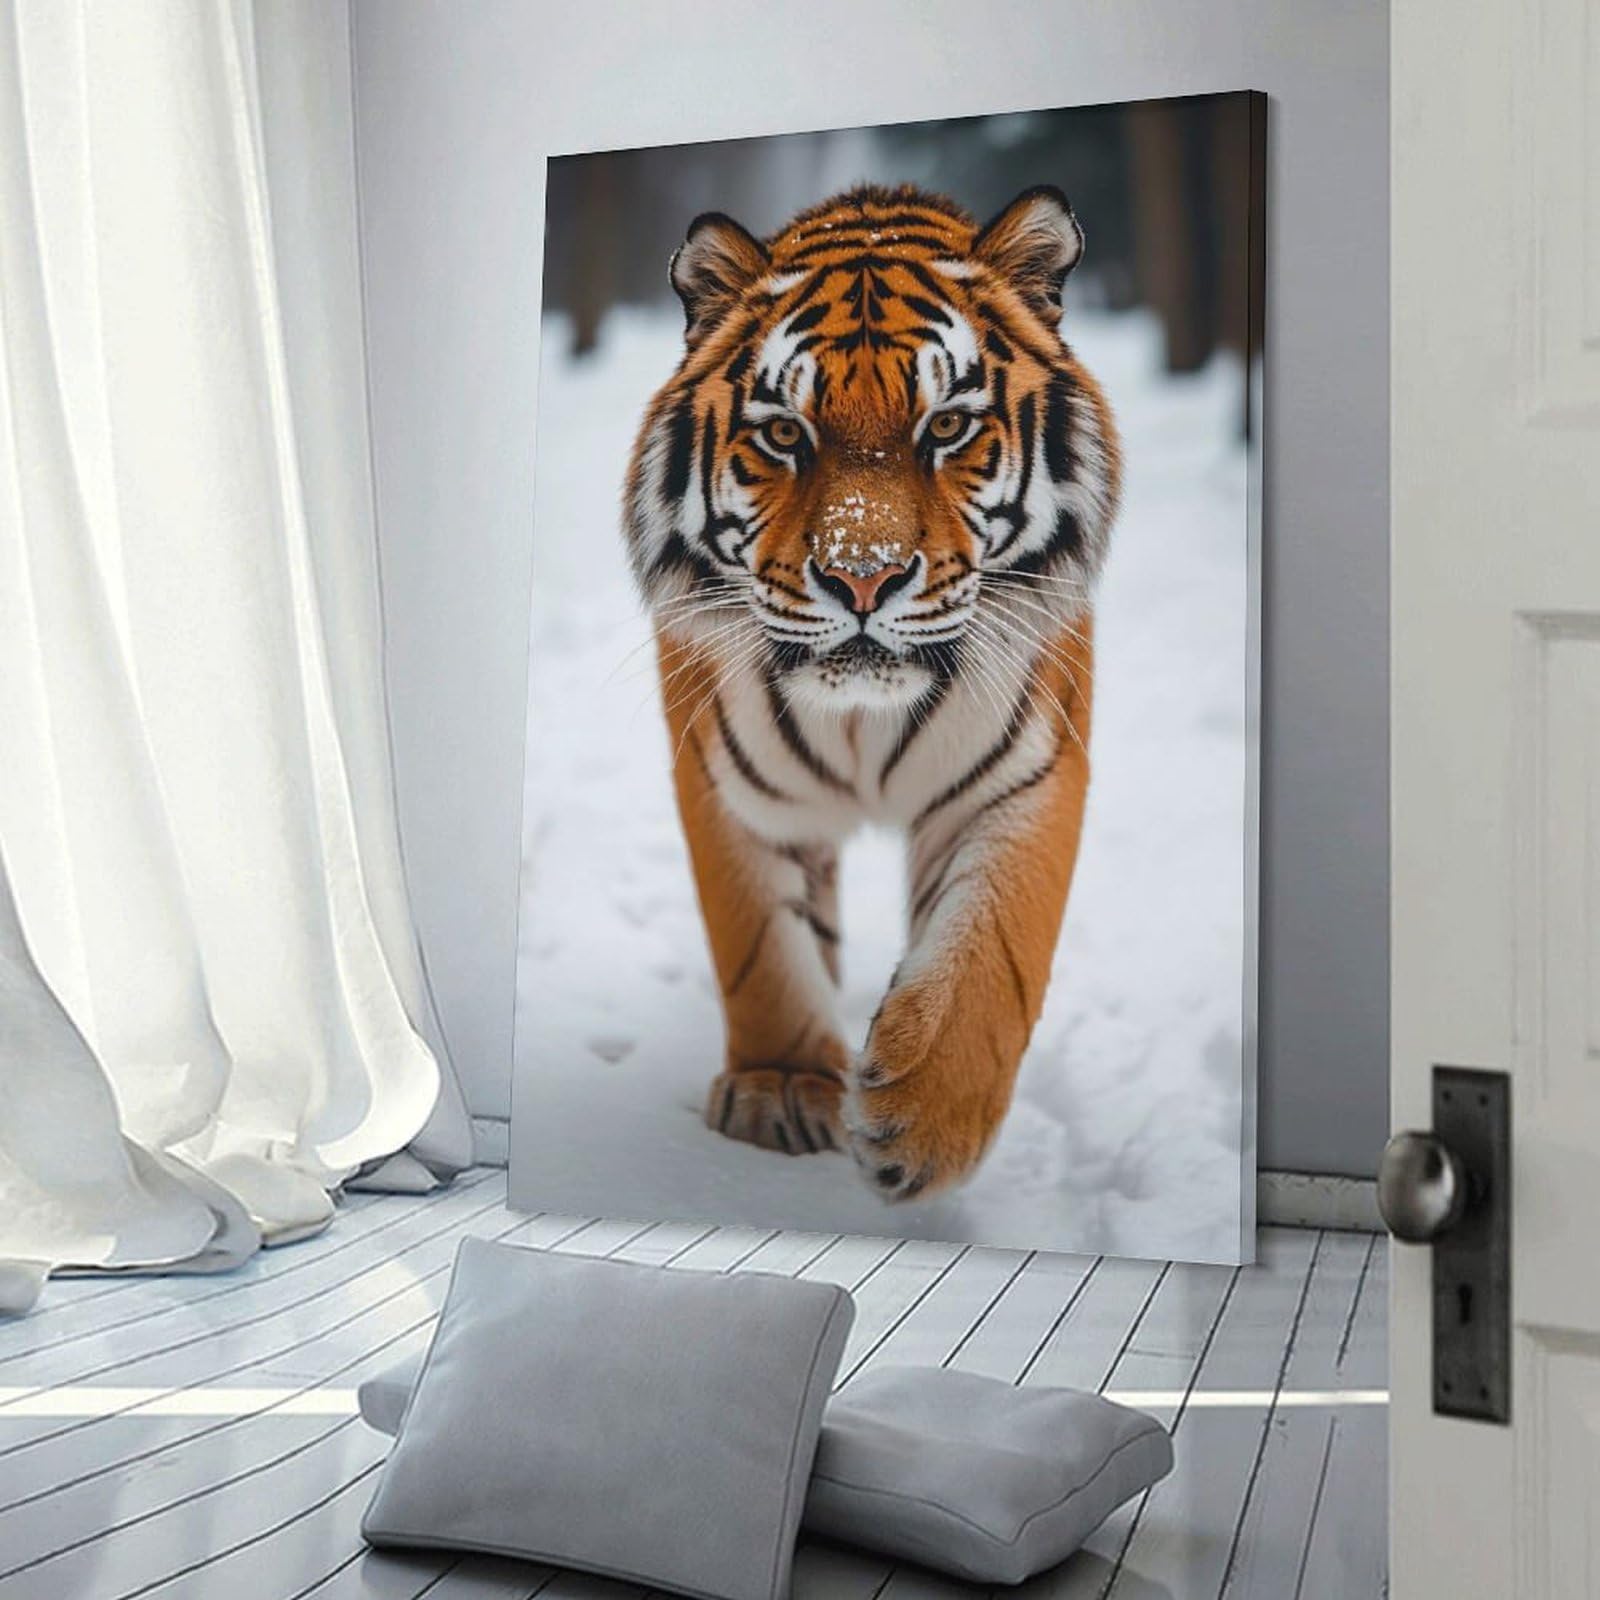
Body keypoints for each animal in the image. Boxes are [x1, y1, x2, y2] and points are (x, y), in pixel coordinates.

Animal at [623, 182, 1121, 1201]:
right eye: (785, 433)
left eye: (947, 427)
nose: (863, 579)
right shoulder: (730, 784)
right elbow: (761, 949)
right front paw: (779, 1089)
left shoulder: (1023, 775)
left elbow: (993, 949)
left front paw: (921, 1124)